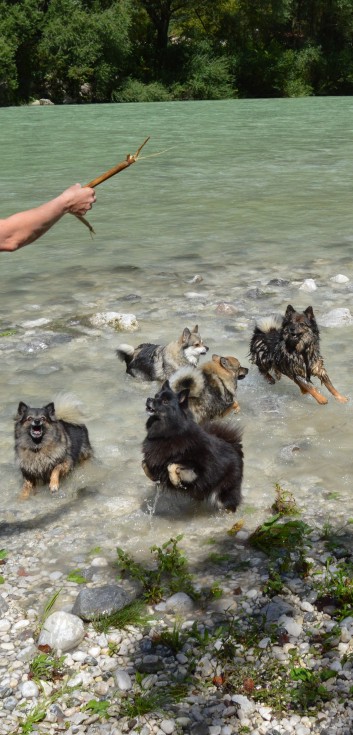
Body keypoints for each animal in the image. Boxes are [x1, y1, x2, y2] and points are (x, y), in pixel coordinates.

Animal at [140, 382, 242, 516]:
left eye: (165, 401)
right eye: (156, 396)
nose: (148, 399)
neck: (169, 434)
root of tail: (233, 445)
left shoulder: (196, 469)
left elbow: (172, 465)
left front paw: (175, 481)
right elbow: (144, 464)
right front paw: (153, 476)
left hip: (224, 493)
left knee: (229, 504)